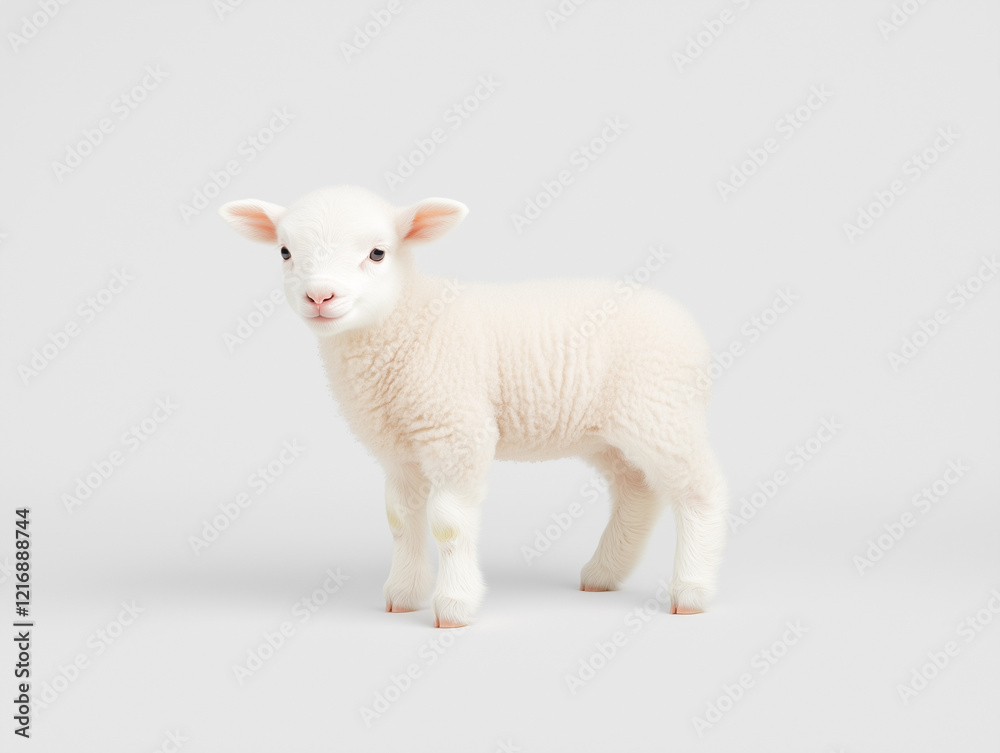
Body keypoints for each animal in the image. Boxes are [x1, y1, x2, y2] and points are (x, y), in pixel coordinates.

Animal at [219, 186, 728, 628]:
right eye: (285, 252)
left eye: (378, 253)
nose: (320, 296)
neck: (407, 321)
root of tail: (689, 328)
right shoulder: (398, 449)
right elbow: (400, 519)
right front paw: (403, 594)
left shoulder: (456, 432)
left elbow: (448, 524)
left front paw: (454, 606)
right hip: (609, 433)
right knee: (636, 491)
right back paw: (604, 574)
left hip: (660, 412)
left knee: (699, 489)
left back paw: (691, 590)